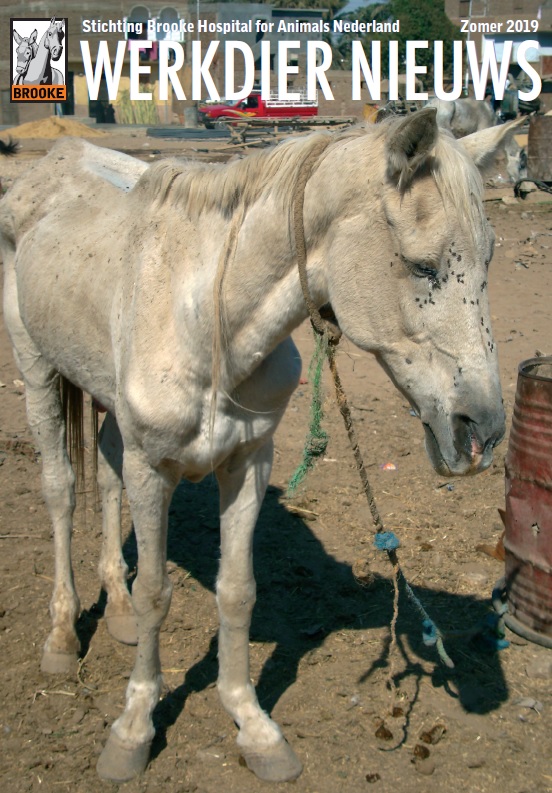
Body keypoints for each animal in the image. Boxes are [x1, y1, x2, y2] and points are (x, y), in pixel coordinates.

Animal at [0, 110, 516, 780]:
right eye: (421, 265)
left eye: (487, 262)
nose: (483, 432)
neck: (208, 318)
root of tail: (48, 166)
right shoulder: (153, 470)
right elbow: (156, 594)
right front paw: (133, 728)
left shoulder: (247, 464)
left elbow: (238, 591)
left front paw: (253, 725)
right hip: (36, 369)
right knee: (61, 491)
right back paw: (63, 637)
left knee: (107, 472)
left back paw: (113, 610)